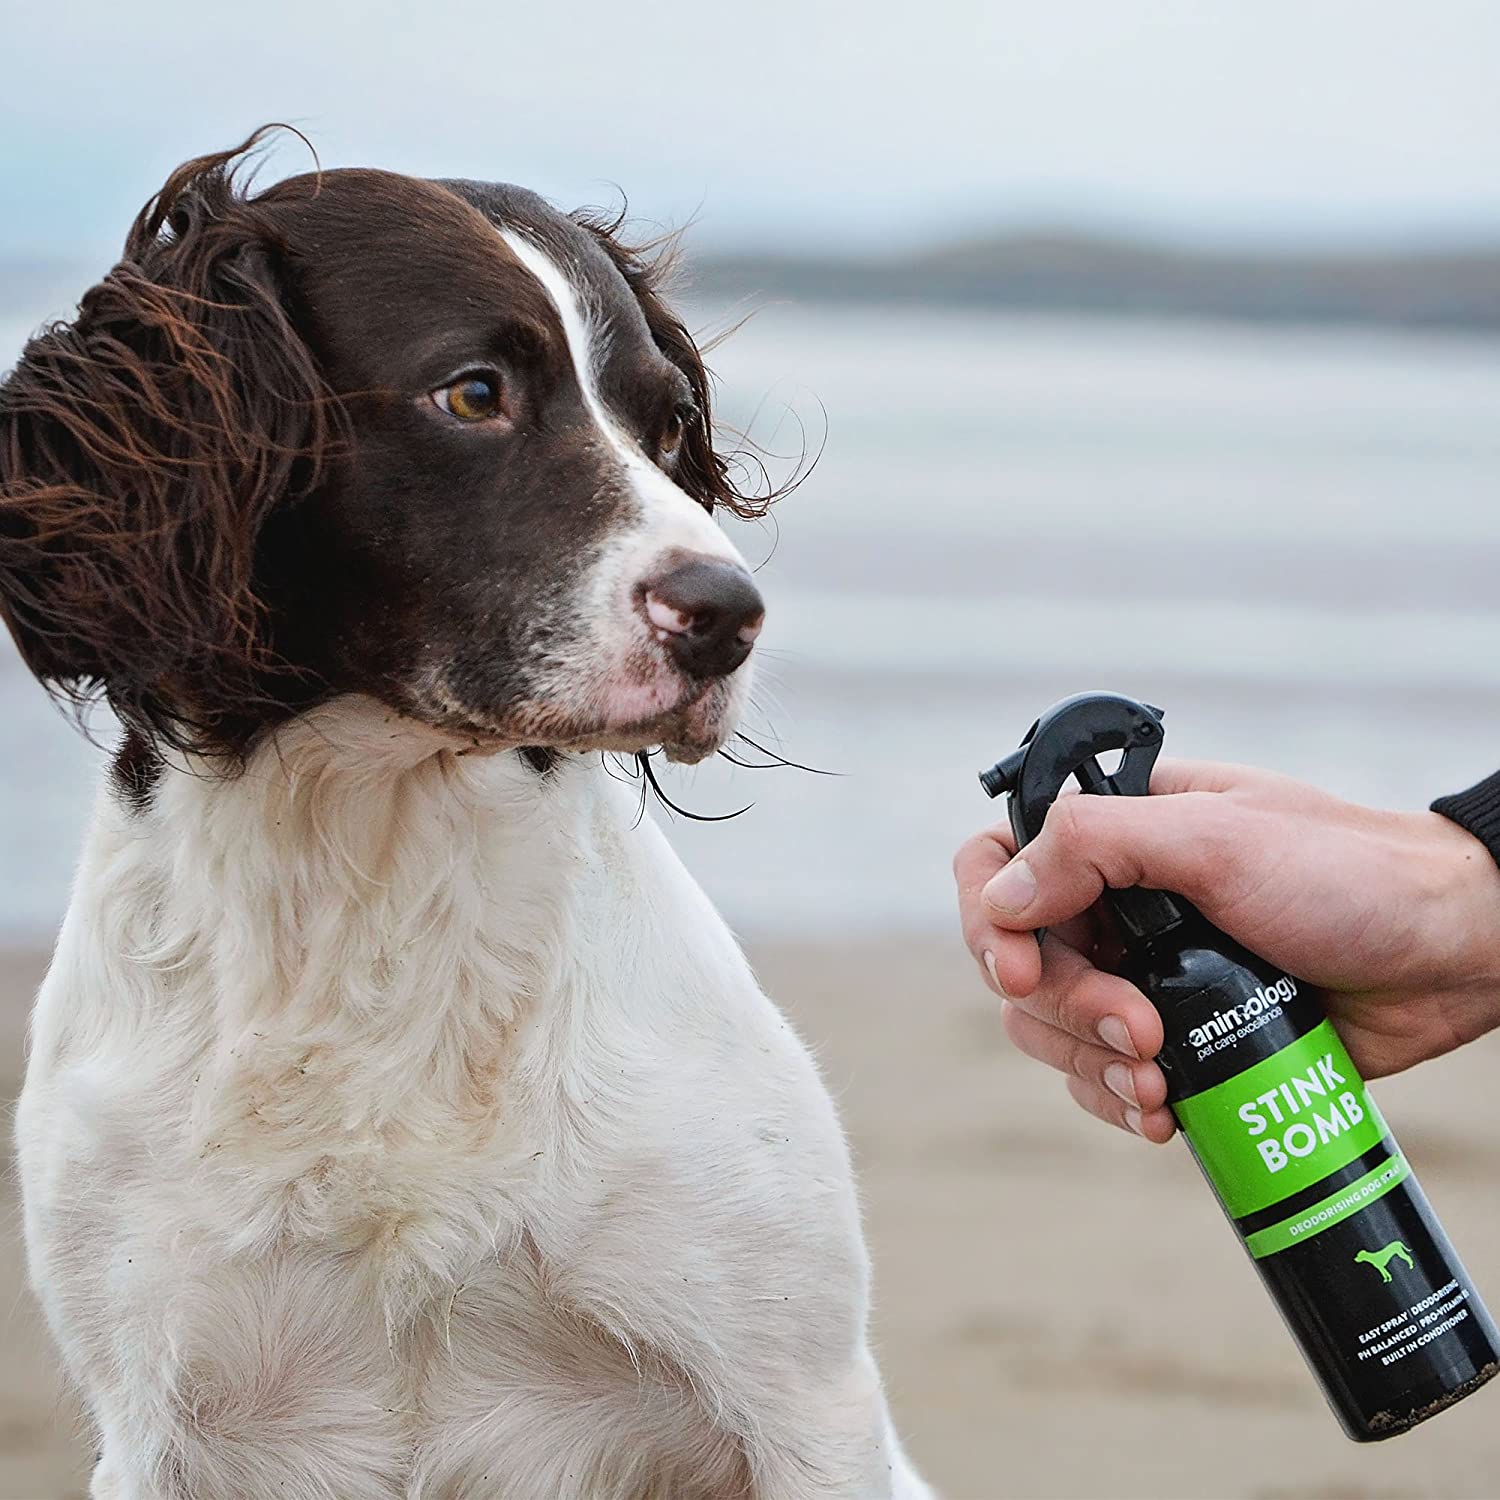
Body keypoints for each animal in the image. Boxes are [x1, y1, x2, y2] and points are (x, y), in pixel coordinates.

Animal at [2, 135, 936, 1500]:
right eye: (474, 393)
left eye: (667, 422)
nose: (730, 615)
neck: (373, 873)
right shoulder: (156, 1417)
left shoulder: (807, 1404)